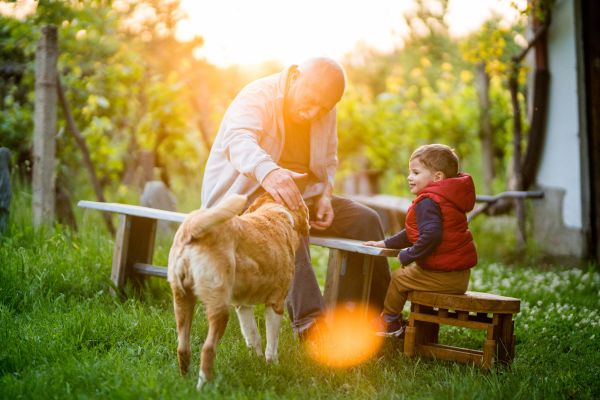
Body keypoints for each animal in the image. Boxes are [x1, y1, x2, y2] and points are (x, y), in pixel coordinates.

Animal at [169, 192, 310, 390]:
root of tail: (191, 227)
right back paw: (204, 388)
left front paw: (257, 363)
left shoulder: (243, 306)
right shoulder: (276, 303)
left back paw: (184, 383)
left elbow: (253, 336)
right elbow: (271, 343)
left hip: (181, 300)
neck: (275, 212)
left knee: (182, 348)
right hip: (219, 307)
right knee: (207, 349)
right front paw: (272, 366)